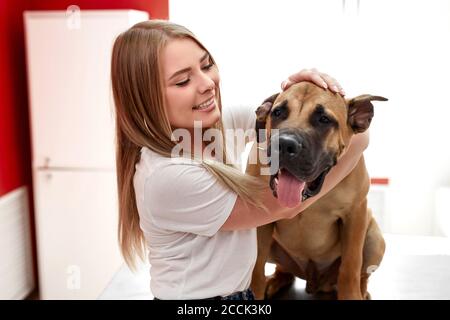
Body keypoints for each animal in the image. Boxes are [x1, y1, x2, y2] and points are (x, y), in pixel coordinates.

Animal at [246, 82, 386, 300]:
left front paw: (352, 294)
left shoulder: (355, 214)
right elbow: (256, 267)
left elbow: (350, 266)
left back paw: (363, 292)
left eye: (324, 119)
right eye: (277, 112)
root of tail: (314, 281)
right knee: (282, 270)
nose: (284, 144)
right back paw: (274, 281)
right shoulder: (261, 223)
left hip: (373, 238)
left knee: (362, 274)